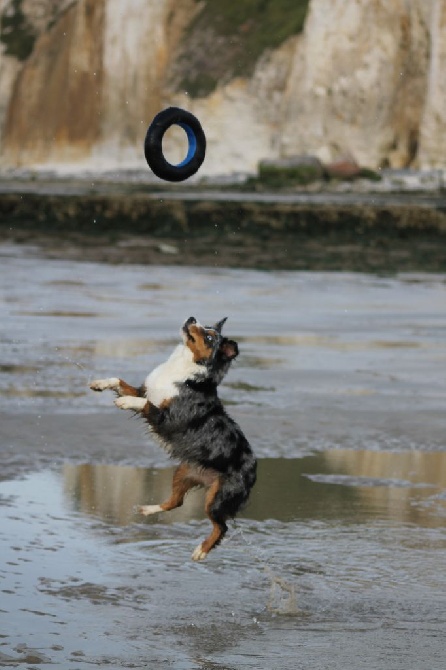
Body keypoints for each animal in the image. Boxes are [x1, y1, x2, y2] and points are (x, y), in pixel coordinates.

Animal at [89, 318, 258, 560]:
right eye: (204, 325)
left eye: (209, 337)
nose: (191, 319)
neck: (184, 369)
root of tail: (255, 467)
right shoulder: (145, 391)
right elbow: (120, 382)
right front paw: (101, 383)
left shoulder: (166, 418)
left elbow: (144, 404)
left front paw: (124, 402)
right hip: (184, 472)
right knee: (176, 502)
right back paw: (148, 509)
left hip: (217, 499)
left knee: (221, 527)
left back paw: (201, 551)